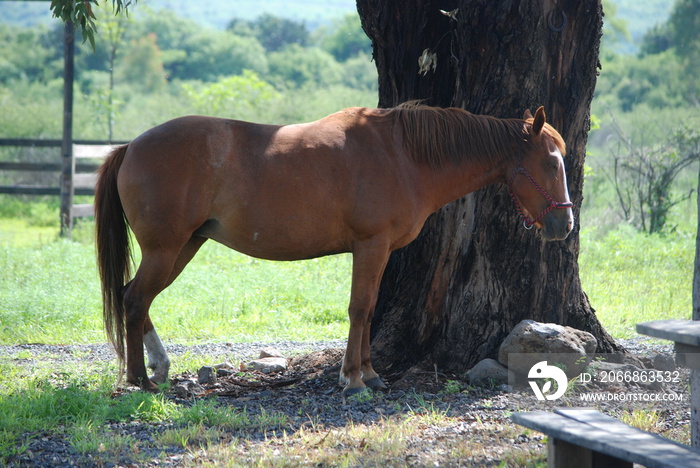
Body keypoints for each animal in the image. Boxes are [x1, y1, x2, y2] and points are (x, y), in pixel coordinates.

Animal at [94, 103, 576, 394]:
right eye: (550, 163)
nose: (565, 224)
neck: (403, 156)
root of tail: (130, 146)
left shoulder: (380, 252)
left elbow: (370, 307)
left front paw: (370, 373)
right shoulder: (370, 246)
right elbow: (360, 309)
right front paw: (353, 379)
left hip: (184, 246)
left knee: (136, 298)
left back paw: (157, 368)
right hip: (167, 248)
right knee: (135, 299)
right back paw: (140, 379)